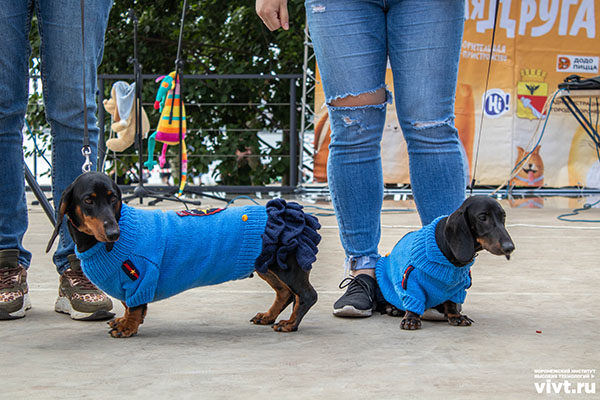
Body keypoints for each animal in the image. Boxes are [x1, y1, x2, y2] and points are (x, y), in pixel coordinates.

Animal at [46, 172, 320, 338]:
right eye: (88, 200)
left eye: (113, 199)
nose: (114, 233)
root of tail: (295, 213)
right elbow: (127, 304)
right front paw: (123, 320)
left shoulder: (141, 276)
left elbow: (134, 306)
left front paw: (127, 326)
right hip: (266, 264)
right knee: (285, 293)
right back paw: (269, 316)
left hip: (285, 266)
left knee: (306, 295)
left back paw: (290, 324)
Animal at [376, 196, 515, 330]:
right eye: (482, 217)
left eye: (503, 216)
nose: (510, 247)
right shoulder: (411, 280)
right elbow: (414, 300)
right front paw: (411, 319)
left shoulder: (457, 287)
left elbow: (451, 303)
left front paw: (456, 316)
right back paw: (392, 308)